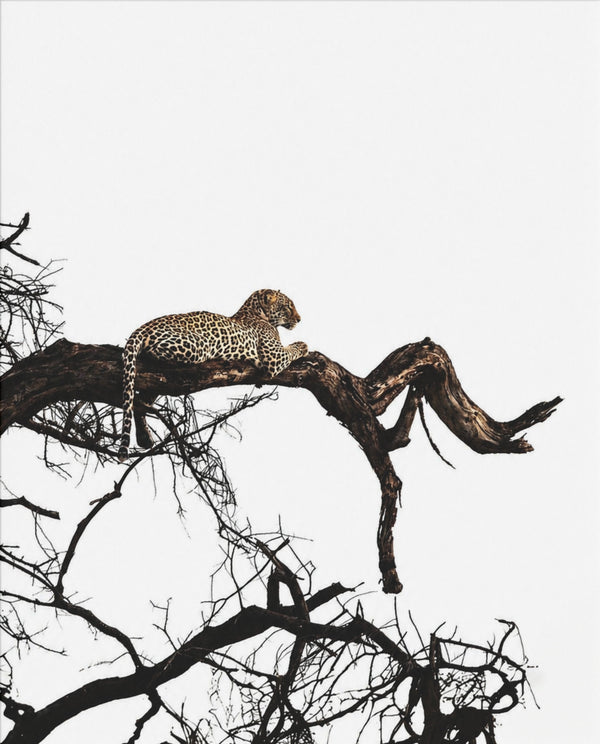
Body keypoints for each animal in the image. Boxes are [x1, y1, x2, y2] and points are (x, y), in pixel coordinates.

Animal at [118, 289, 308, 461]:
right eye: (288, 306)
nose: (299, 319)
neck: (257, 312)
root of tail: (143, 327)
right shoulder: (273, 356)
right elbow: (292, 349)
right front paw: (303, 345)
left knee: (140, 401)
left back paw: (144, 438)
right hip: (198, 344)